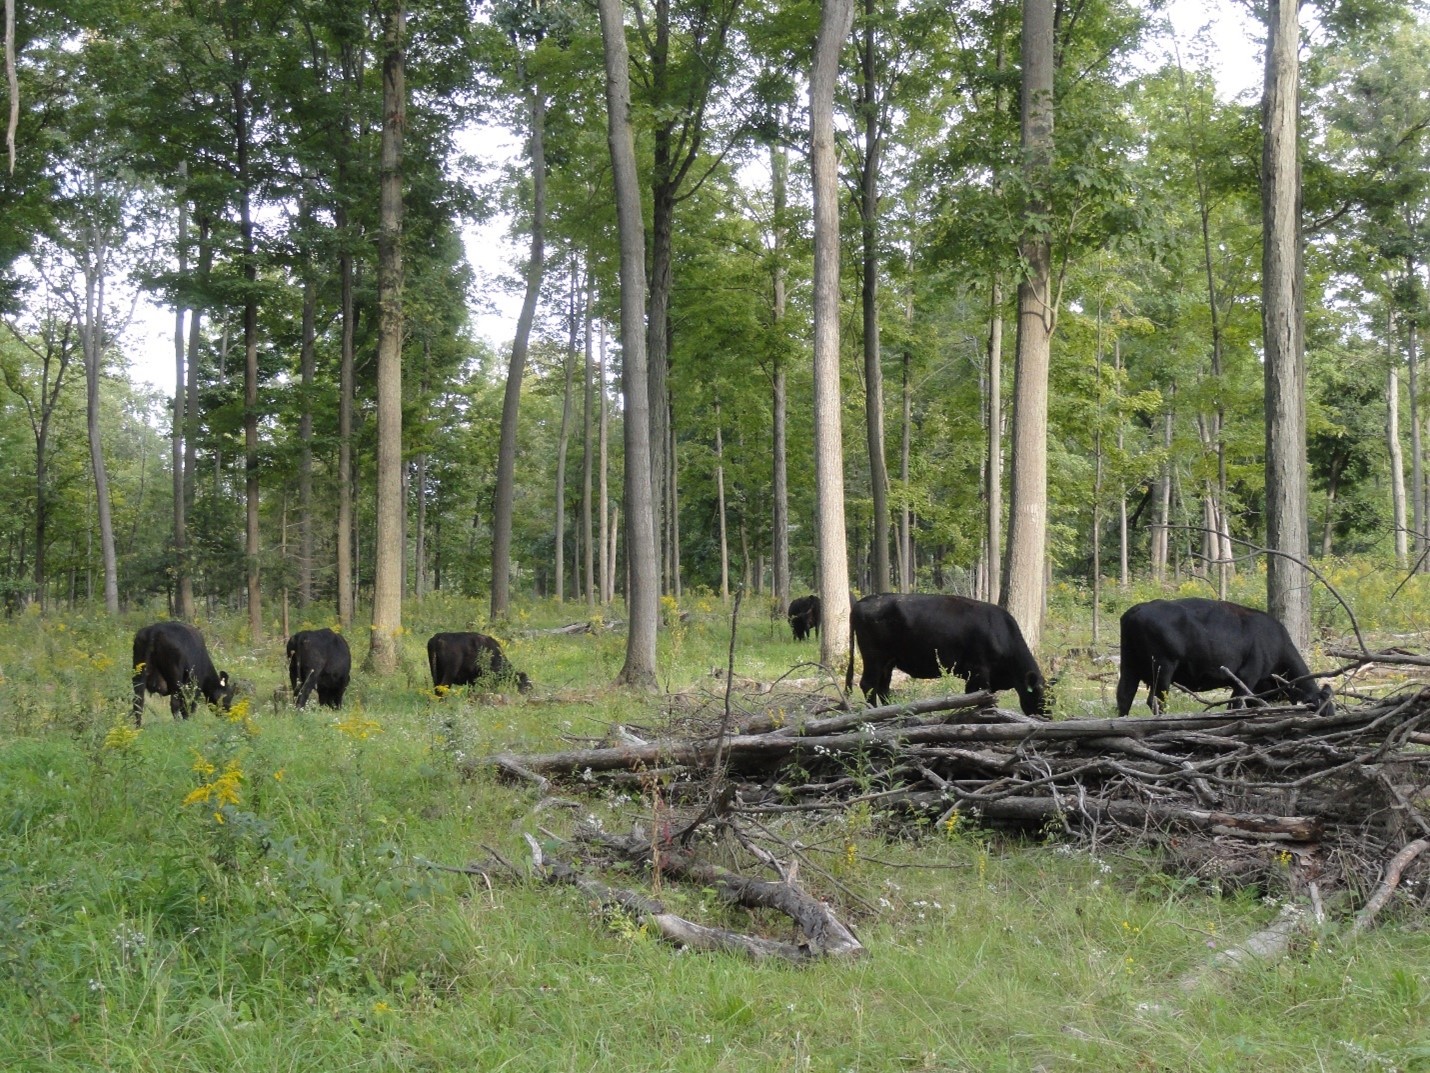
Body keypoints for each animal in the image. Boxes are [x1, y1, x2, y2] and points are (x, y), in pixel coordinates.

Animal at [835, 592, 1052, 718]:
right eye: (1042, 698)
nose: (1048, 718)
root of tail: (863, 601)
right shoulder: (980, 671)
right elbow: (980, 697)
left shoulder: (972, 676)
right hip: (874, 657)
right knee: (868, 685)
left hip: (888, 662)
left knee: (883, 688)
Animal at [1109, 600, 1332, 718]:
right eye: (1323, 709)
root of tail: (1137, 610)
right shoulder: (1246, 678)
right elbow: (1236, 705)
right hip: (1163, 669)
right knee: (1155, 701)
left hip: (1129, 667)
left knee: (1124, 697)